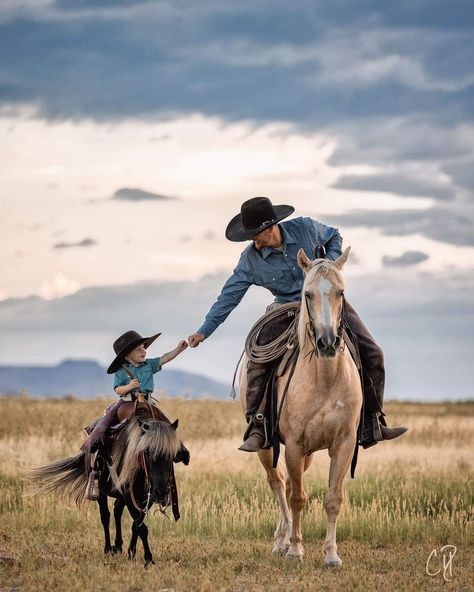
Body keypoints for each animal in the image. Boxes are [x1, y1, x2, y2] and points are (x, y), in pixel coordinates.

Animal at [29, 418, 181, 568]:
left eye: (172, 454)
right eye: (147, 451)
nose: (161, 492)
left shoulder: (146, 499)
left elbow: (136, 524)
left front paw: (131, 553)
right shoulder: (129, 495)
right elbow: (141, 527)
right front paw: (148, 559)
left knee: (117, 509)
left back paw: (118, 546)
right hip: (101, 491)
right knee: (105, 516)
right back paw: (108, 548)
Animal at [241, 247, 362, 568]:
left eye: (341, 292)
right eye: (307, 293)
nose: (327, 342)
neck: (324, 378)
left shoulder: (343, 444)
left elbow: (333, 499)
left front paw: (331, 555)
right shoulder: (293, 445)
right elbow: (297, 498)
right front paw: (296, 549)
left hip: (307, 454)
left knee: (288, 483)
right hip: (267, 448)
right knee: (278, 483)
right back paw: (281, 541)